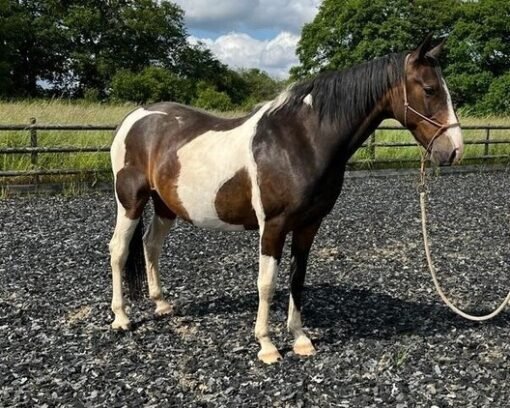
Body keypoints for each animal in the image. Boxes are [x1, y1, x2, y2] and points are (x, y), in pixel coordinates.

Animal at [109, 35, 464, 364]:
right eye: (430, 89)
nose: (454, 151)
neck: (298, 141)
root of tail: (135, 117)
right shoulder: (273, 226)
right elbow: (266, 283)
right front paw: (266, 346)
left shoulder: (309, 224)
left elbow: (297, 278)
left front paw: (301, 339)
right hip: (130, 201)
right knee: (119, 250)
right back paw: (122, 318)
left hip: (165, 206)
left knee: (151, 245)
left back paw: (161, 304)